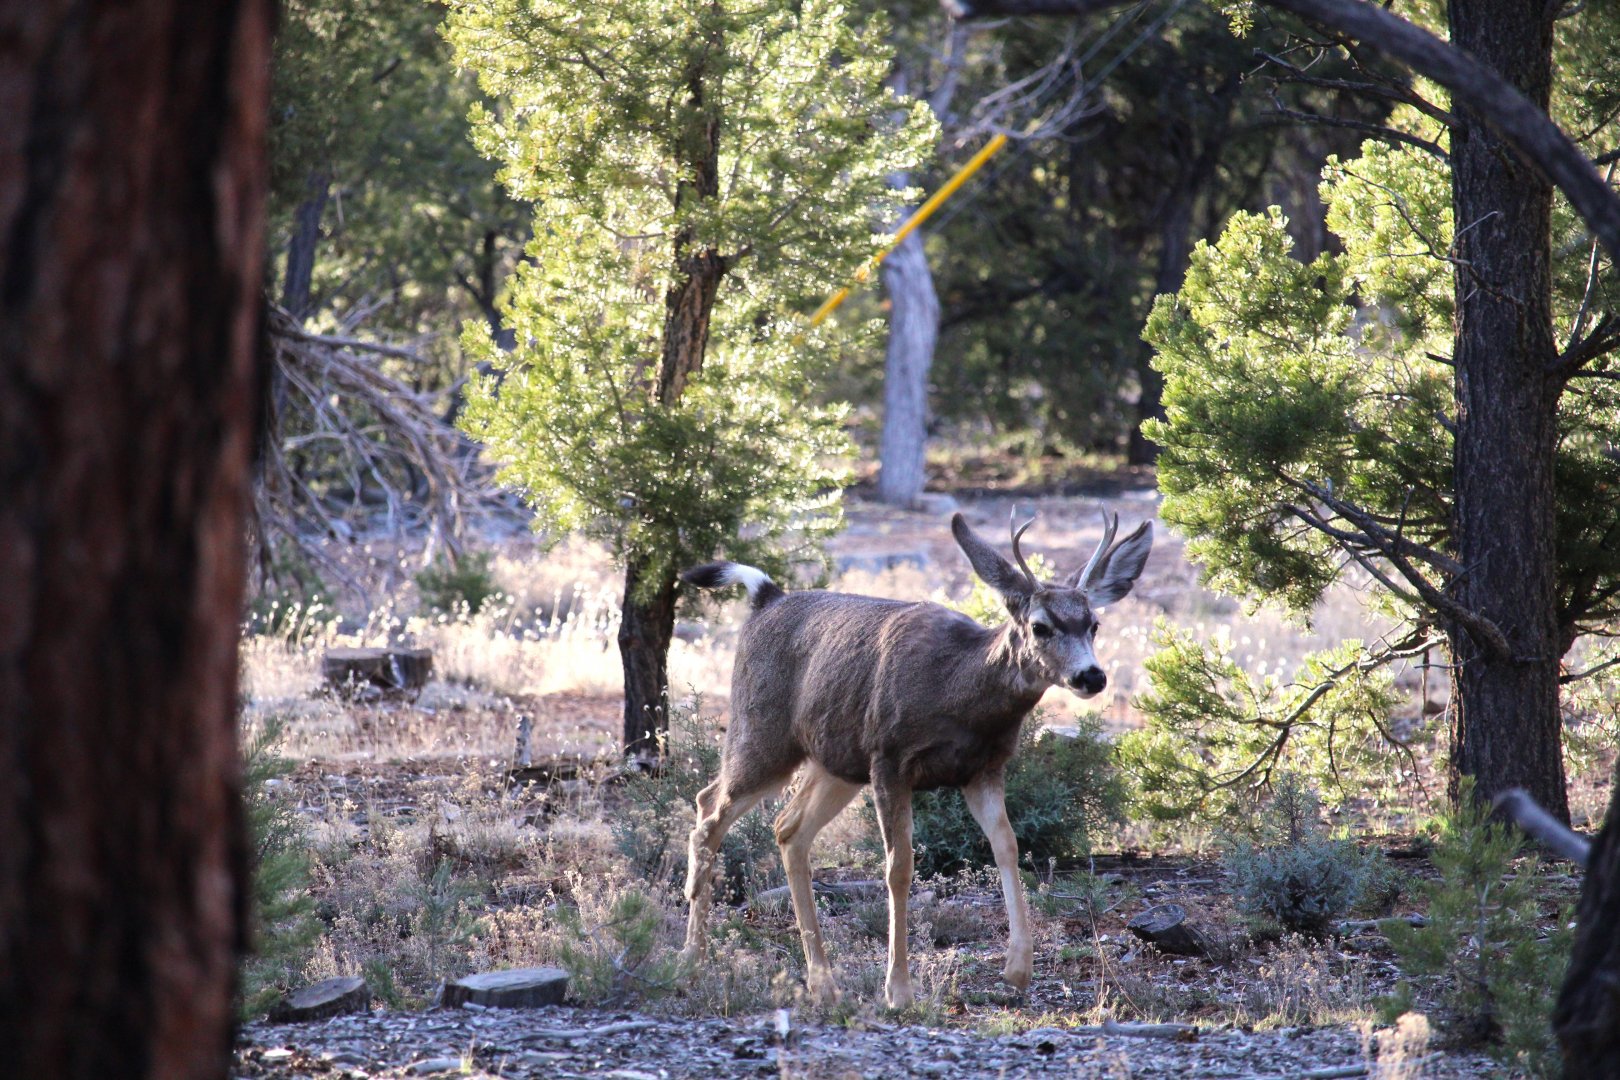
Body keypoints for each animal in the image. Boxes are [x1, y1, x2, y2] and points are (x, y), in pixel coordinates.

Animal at [677, 510, 1152, 1009]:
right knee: (708, 809)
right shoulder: (889, 759)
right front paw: (899, 989)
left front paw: (1017, 969)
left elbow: (1007, 846)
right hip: (763, 734)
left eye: (1094, 623)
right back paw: (692, 959)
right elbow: (899, 868)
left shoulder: (984, 768)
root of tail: (766, 598)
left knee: (787, 828)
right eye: (1040, 626)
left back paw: (822, 981)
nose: (1092, 676)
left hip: (837, 763)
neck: (958, 690)